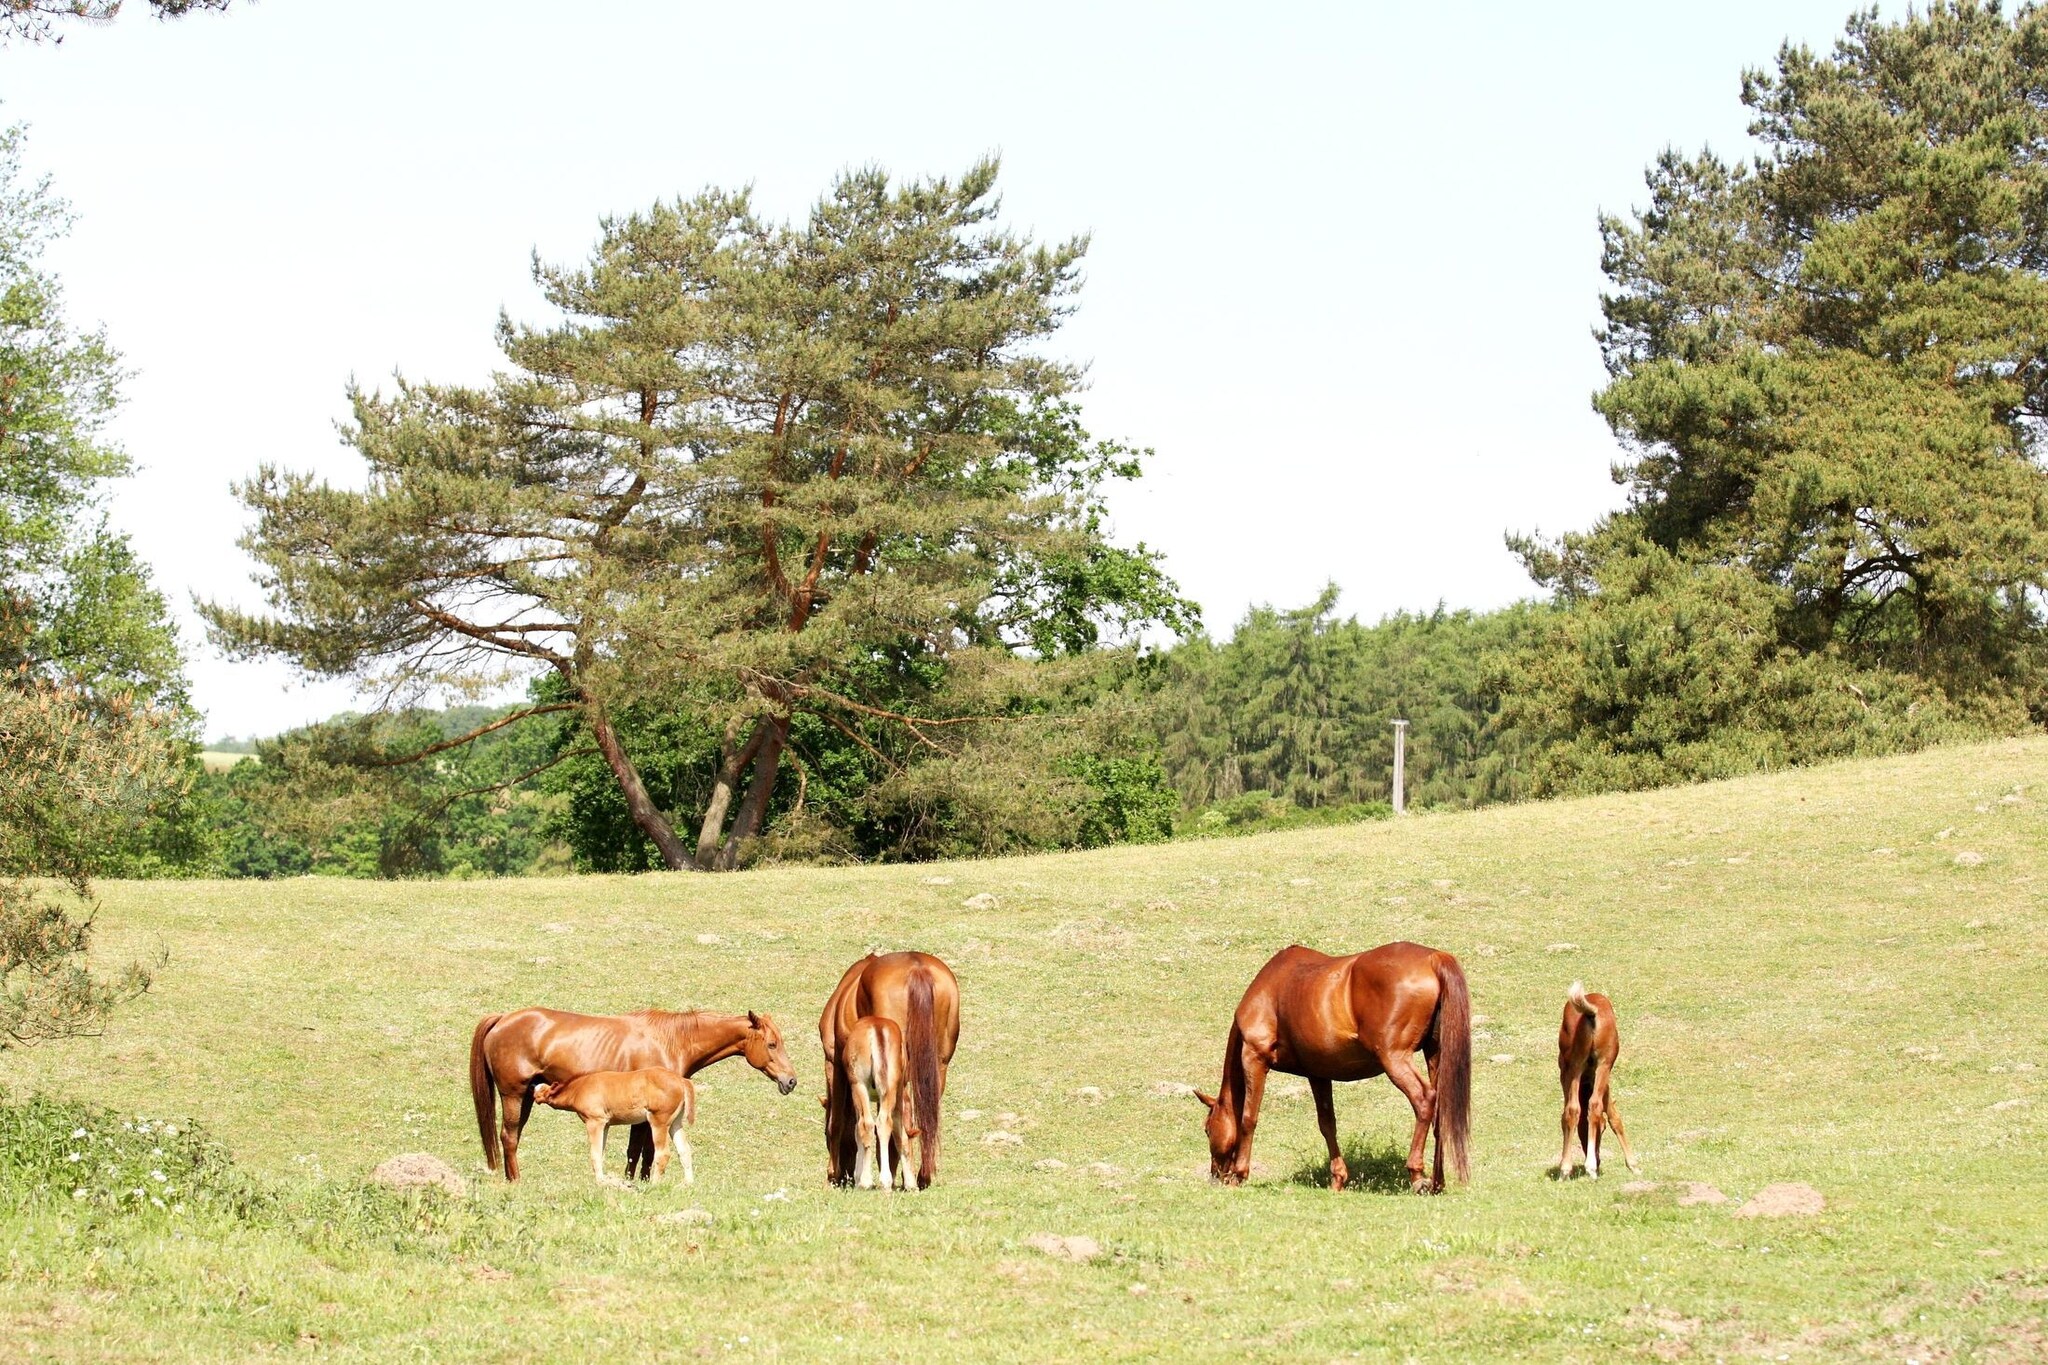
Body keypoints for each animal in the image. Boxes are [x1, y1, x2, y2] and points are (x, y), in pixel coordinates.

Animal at [536, 1064, 696, 1186]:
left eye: (542, 1091)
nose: (534, 1094)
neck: (579, 1088)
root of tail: (682, 1080)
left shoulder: (595, 1121)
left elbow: (595, 1154)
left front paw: (600, 1182)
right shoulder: (605, 1125)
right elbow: (601, 1152)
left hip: (659, 1122)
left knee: (663, 1153)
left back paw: (654, 1184)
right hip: (675, 1122)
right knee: (684, 1150)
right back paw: (687, 1183)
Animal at [815, 957, 958, 1186]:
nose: (845, 1174)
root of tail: (917, 968)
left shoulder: (833, 1063)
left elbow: (836, 1121)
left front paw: (833, 1173)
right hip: (936, 1066)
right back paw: (920, 1176)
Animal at [1196, 945, 1474, 1186]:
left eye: (1207, 1130)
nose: (1216, 1176)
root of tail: (1433, 958)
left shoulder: (1255, 1058)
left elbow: (1248, 1117)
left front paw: (1239, 1174)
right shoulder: (1318, 1074)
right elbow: (1327, 1124)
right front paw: (1338, 1178)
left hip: (1395, 1059)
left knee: (1424, 1100)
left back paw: (1416, 1174)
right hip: (1434, 1055)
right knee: (1440, 1107)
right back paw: (1437, 1181)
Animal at [1556, 982, 1638, 1186]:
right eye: (1602, 1128)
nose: (1599, 1159)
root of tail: (1590, 1013)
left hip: (1580, 1068)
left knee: (1576, 1108)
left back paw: (1573, 1169)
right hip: (1601, 1065)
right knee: (1589, 1106)